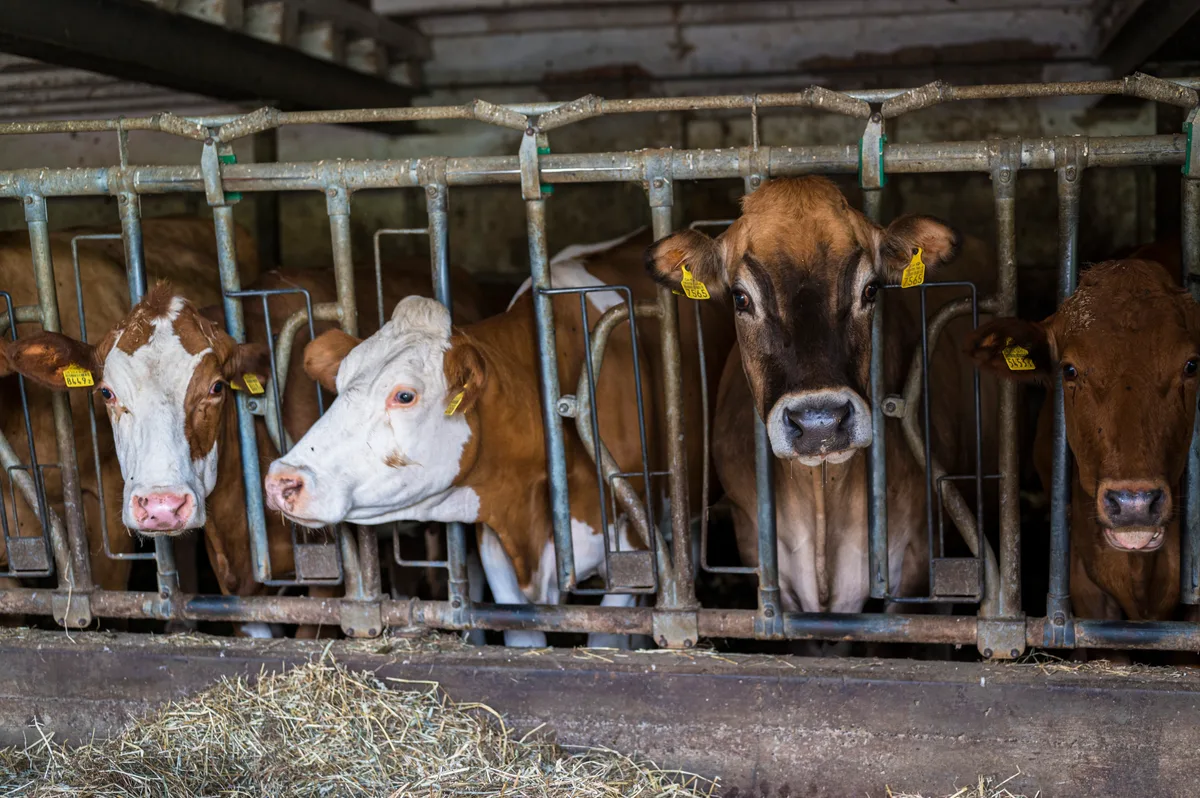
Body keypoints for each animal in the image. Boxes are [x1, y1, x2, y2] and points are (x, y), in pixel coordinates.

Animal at [645, 176, 993, 625]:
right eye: (741, 298)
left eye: (871, 290)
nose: (819, 422)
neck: (823, 496)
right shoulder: (766, 557)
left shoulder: (918, 564)